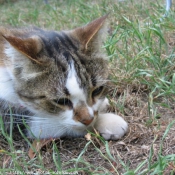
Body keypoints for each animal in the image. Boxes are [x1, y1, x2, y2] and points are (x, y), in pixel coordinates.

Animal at [0, 15, 129, 140]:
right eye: (61, 101)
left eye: (97, 90)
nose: (88, 120)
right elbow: (51, 123)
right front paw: (106, 121)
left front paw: (102, 105)